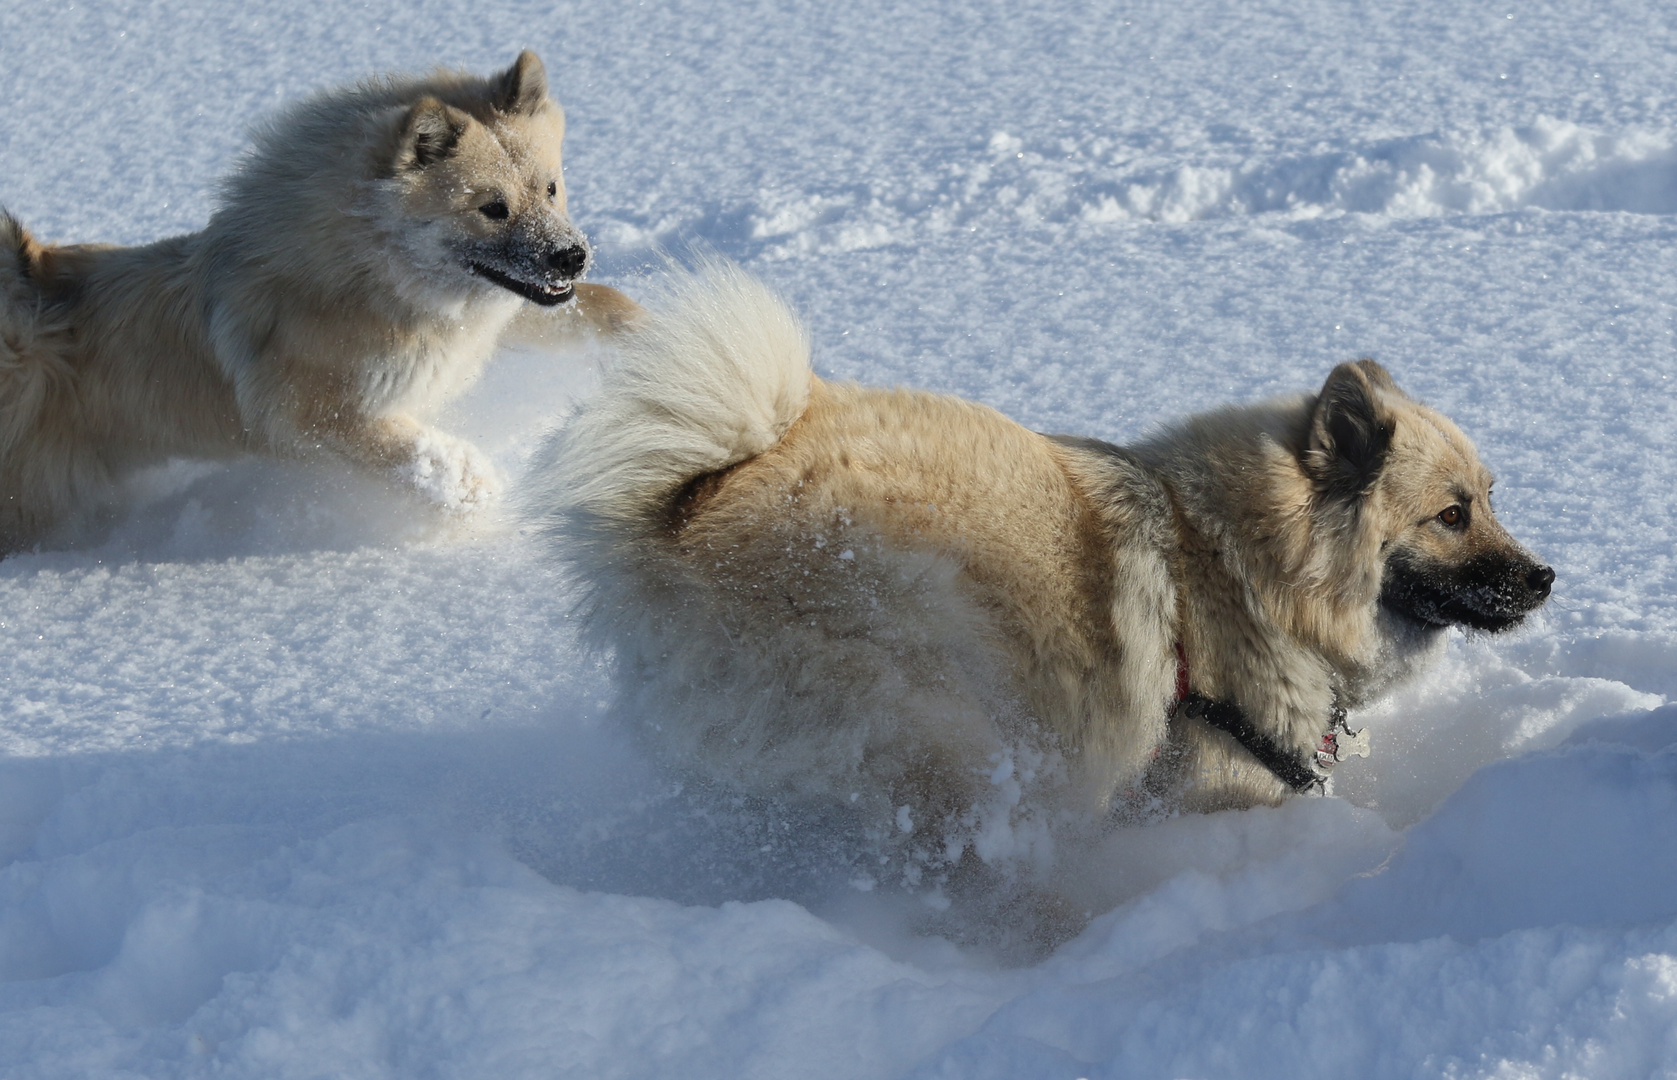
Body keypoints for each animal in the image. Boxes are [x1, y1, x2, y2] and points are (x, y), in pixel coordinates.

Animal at [0, 51, 640, 553]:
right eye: (492, 208)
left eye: (551, 188)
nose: (572, 256)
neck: (369, 272)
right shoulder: (312, 412)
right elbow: (410, 452)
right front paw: (471, 485)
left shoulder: (487, 318)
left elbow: (592, 309)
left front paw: (644, 335)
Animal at [529, 263, 1549, 919]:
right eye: (1451, 514)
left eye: (1492, 498)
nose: (1544, 579)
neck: (1231, 565)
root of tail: (688, 505)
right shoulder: (1214, 790)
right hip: (936, 716)